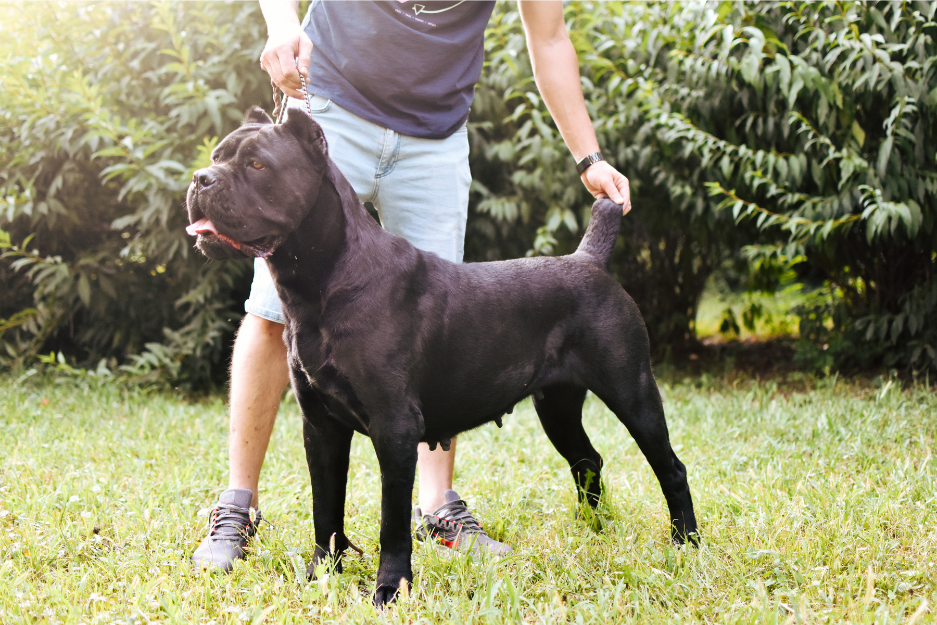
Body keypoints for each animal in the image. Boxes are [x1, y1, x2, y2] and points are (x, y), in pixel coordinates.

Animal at [186, 107, 696, 604]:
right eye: (217, 156)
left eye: (257, 165)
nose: (199, 178)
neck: (323, 284)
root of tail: (588, 259)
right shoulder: (321, 426)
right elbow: (325, 511)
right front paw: (320, 577)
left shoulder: (394, 426)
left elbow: (391, 522)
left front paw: (390, 590)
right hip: (558, 404)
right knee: (588, 459)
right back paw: (592, 530)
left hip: (632, 389)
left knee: (670, 466)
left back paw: (685, 543)